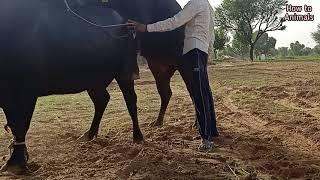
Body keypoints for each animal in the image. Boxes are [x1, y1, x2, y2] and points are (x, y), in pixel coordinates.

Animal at [0, 0, 143, 174]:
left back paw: (137, 136)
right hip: (93, 80)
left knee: (131, 100)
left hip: (124, 74)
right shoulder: (8, 97)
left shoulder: (25, 93)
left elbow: (20, 125)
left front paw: (15, 162)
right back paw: (89, 134)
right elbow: (15, 125)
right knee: (102, 100)